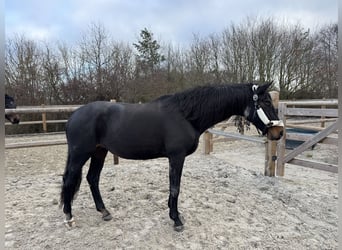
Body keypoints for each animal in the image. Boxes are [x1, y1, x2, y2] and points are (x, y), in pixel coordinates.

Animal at [60, 83, 284, 230]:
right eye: (265, 101)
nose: (279, 132)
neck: (186, 115)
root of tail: (73, 115)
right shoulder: (176, 157)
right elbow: (175, 188)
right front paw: (176, 220)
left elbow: (174, 188)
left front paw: (174, 213)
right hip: (81, 154)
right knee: (70, 180)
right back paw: (69, 217)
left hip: (99, 152)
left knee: (92, 178)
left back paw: (104, 212)